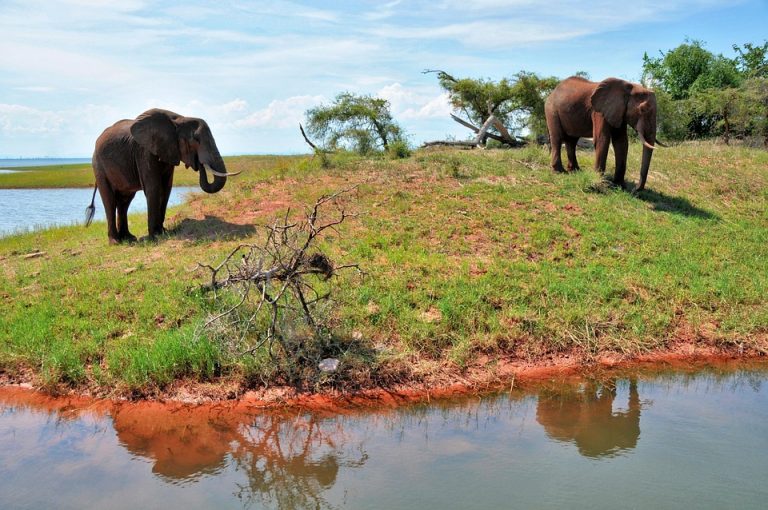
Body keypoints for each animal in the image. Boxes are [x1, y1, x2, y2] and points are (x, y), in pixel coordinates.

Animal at [86, 108, 239, 244]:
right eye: (196, 139)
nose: (199, 163)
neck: (179, 119)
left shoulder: (168, 150)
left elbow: (166, 188)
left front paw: (163, 232)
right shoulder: (144, 152)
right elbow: (154, 187)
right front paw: (155, 236)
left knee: (124, 201)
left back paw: (129, 238)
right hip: (98, 167)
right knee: (110, 201)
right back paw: (116, 242)